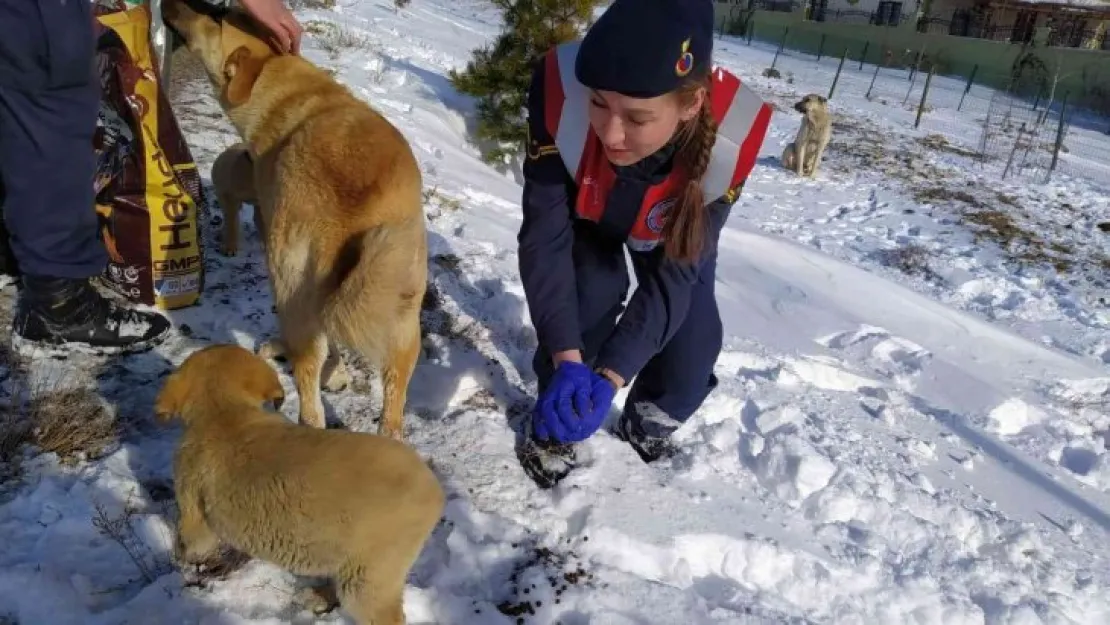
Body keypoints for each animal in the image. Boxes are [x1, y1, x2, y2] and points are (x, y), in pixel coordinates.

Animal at [153, 344, 446, 621]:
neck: (225, 412)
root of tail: (435, 491)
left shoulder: (193, 508)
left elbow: (192, 542)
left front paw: (183, 561)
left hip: (369, 574)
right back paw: (317, 596)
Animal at [162, 1, 426, 439]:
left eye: (216, 15)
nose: (170, 4)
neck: (281, 82)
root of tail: (363, 207)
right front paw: (337, 372)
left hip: (289, 273)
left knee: (307, 378)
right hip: (402, 309)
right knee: (393, 399)